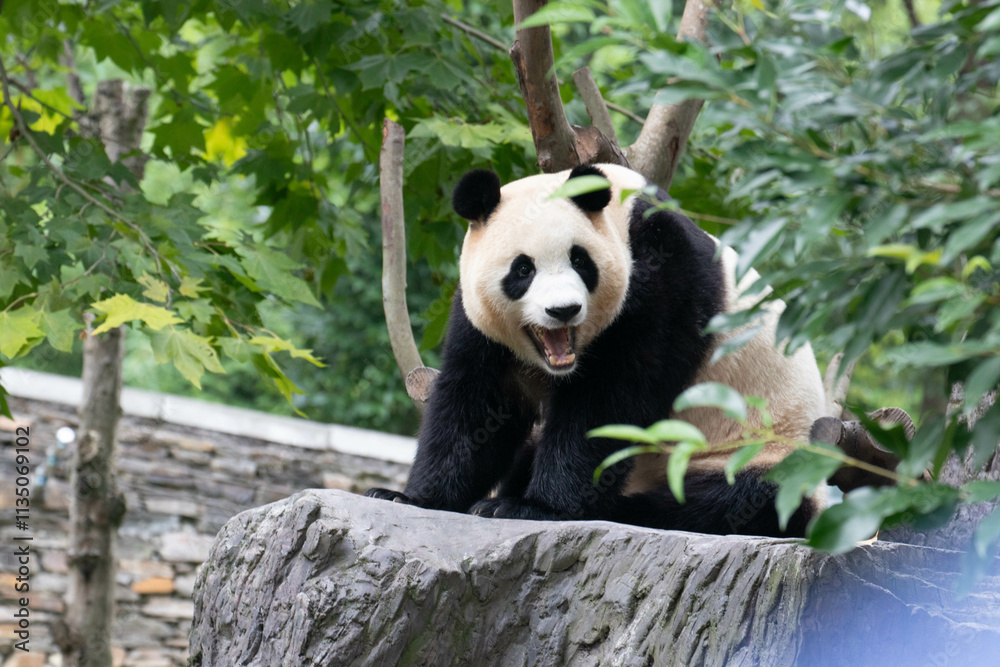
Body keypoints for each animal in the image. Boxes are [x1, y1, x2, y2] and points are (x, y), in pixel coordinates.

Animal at [367, 163, 827, 537]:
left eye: (580, 261)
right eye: (522, 269)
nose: (563, 310)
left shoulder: (662, 278)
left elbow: (610, 401)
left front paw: (530, 507)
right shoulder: (479, 321)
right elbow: (479, 405)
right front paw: (409, 497)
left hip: (755, 453)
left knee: (726, 503)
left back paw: (619, 509)